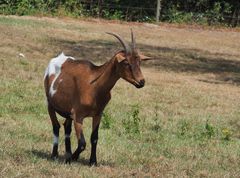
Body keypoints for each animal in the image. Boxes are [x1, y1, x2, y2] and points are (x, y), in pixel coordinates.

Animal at [43, 30, 150, 165]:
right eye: (126, 63)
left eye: (139, 62)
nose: (141, 82)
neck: (94, 86)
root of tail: (59, 58)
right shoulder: (78, 115)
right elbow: (82, 143)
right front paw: (73, 158)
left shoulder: (98, 114)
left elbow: (94, 138)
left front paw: (92, 161)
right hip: (49, 104)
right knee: (56, 126)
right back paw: (55, 155)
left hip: (68, 112)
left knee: (67, 128)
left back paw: (67, 155)